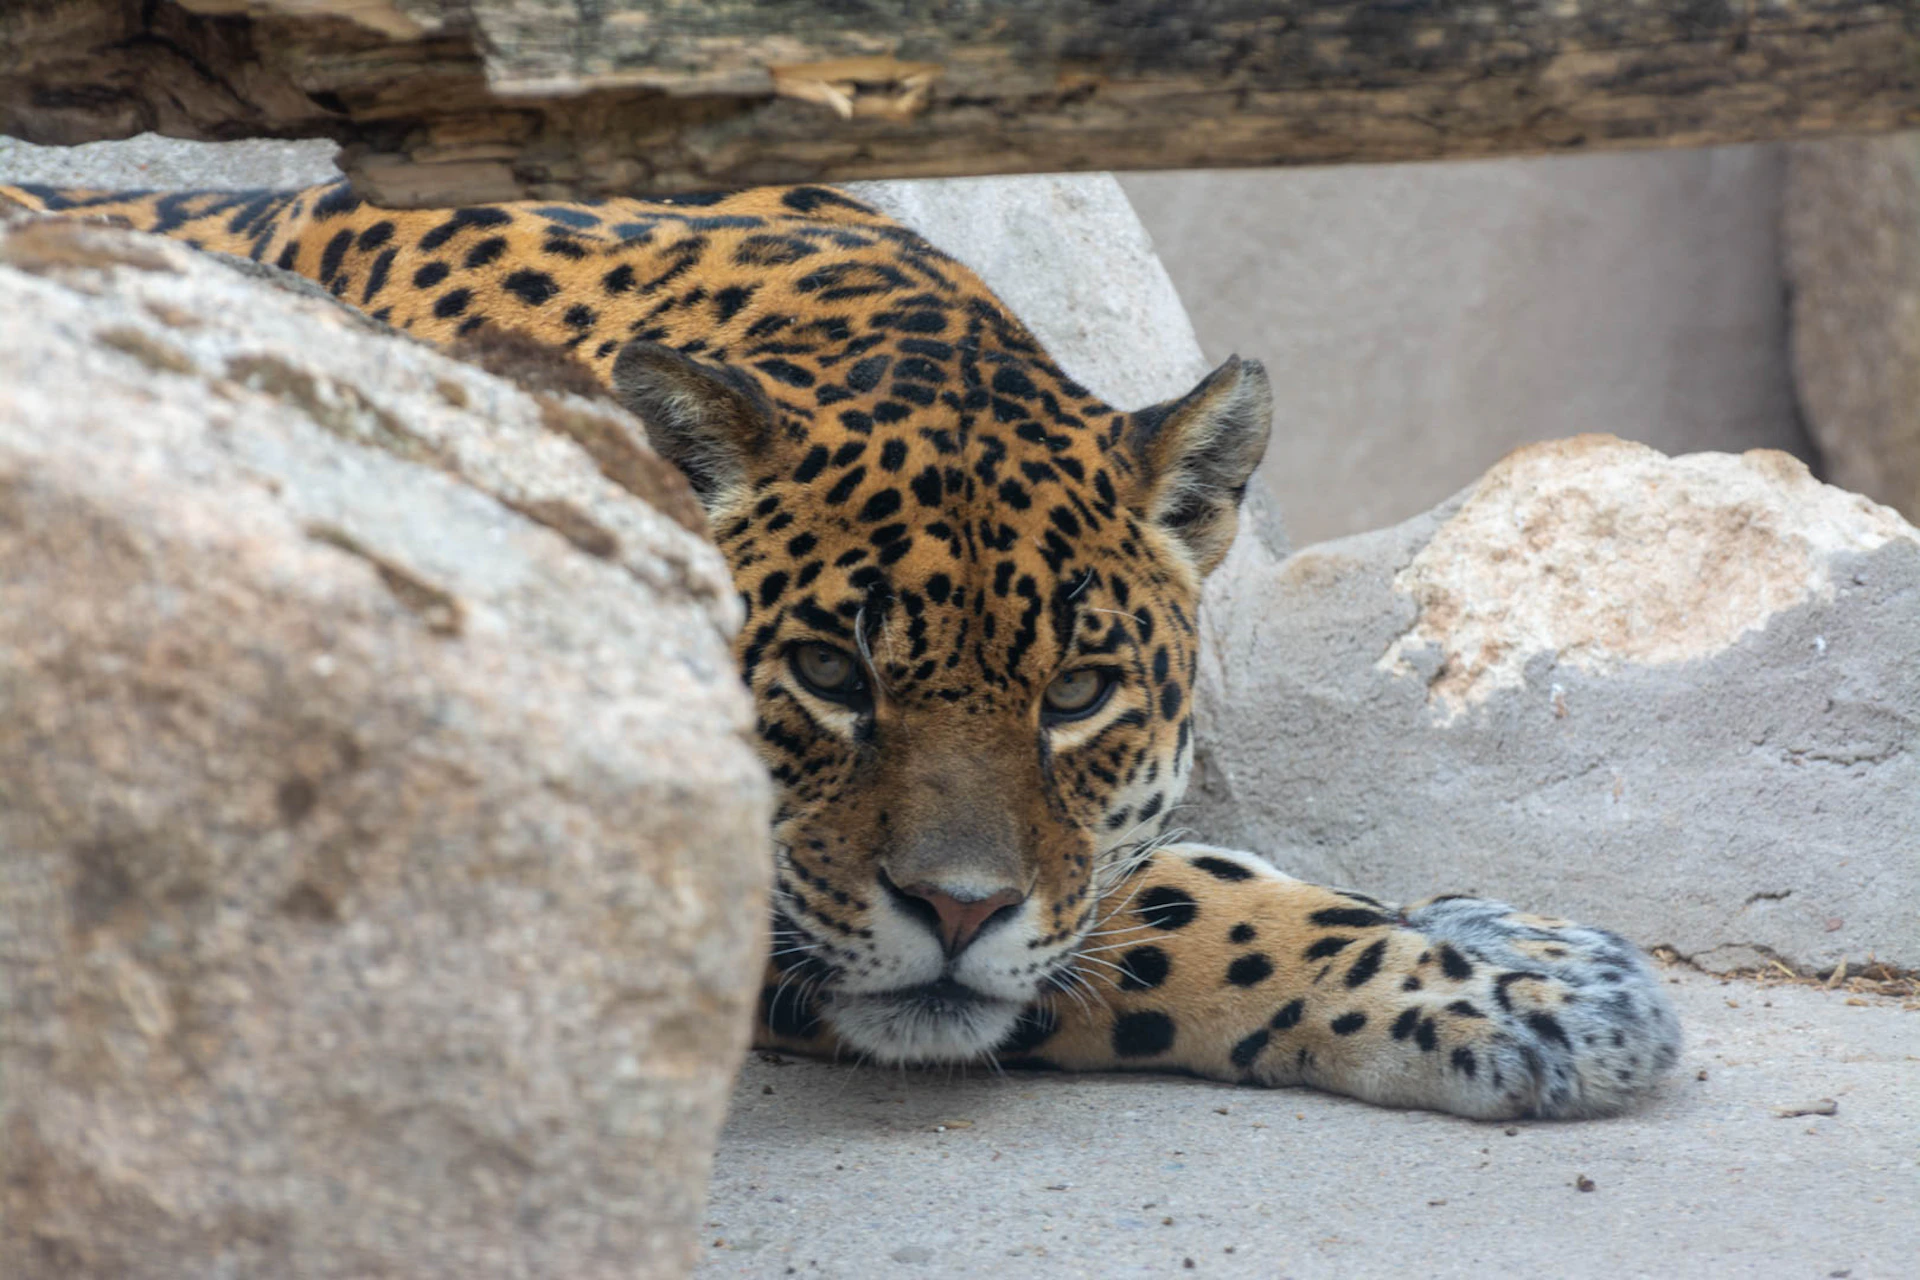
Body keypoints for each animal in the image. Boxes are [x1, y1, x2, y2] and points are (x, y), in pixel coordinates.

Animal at [1, 177, 1681, 1119]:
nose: (956, 910)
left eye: (1079, 695)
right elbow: (1161, 913)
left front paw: (1534, 947)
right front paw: (1505, 1003)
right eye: (827, 675)